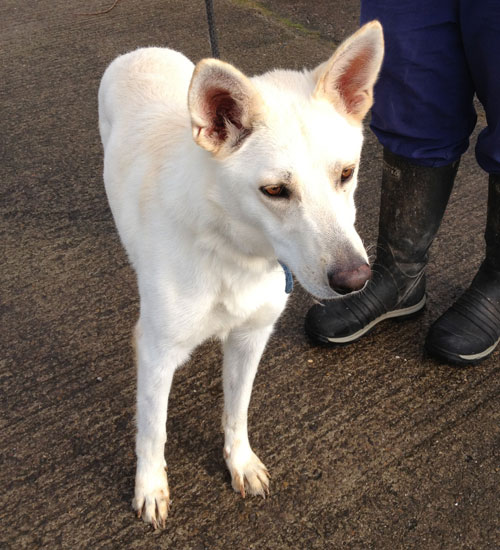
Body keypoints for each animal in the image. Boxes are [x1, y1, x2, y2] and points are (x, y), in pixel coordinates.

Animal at [99, 21, 384, 532]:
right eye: (275, 191)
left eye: (347, 173)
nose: (355, 280)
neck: (231, 250)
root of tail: (141, 50)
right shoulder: (155, 353)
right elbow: (153, 431)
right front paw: (149, 487)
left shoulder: (251, 338)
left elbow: (237, 411)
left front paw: (240, 463)